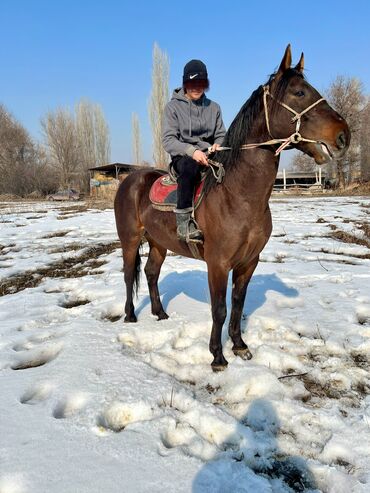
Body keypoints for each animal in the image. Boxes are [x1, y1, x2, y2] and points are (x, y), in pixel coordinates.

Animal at [115, 46, 350, 368]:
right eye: (300, 92)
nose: (344, 135)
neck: (239, 197)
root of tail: (130, 179)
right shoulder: (217, 264)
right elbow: (220, 309)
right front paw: (217, 356)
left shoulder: (248, 262)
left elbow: (238, 305)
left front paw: (239, 346)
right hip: (129, 239)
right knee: (129, 274)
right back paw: (130, 315)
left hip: (159, 242)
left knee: (151, 273)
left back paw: (160, 313)